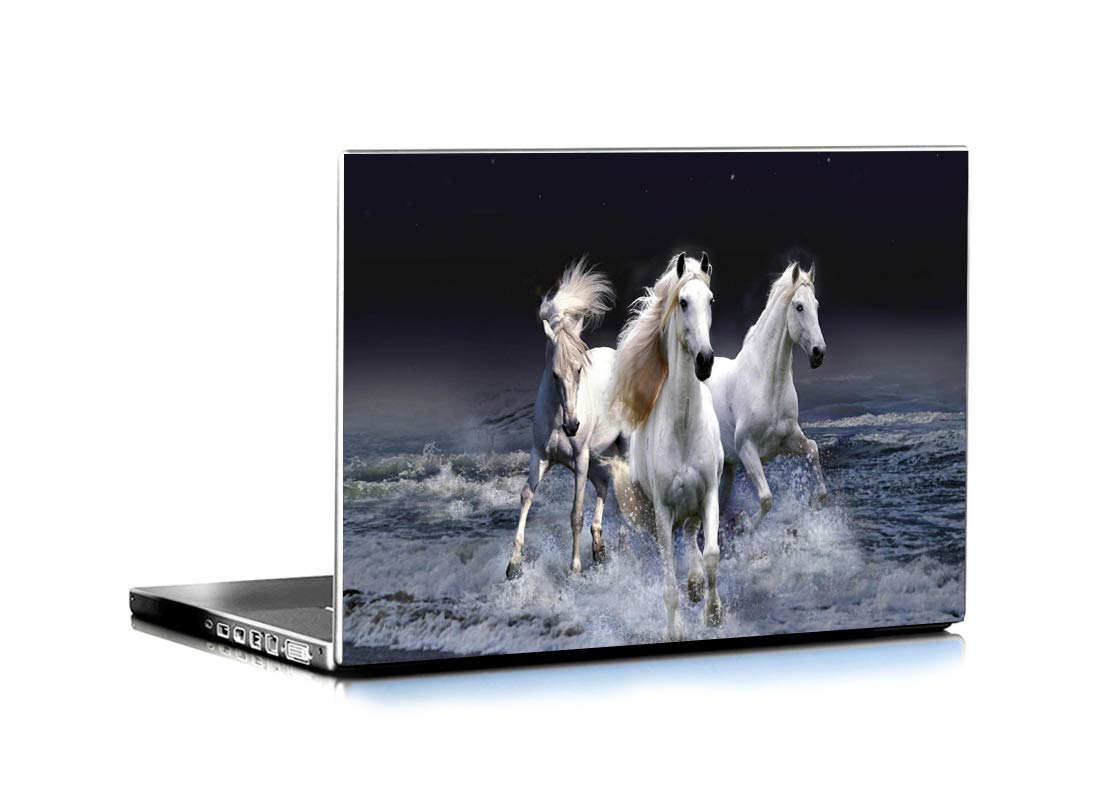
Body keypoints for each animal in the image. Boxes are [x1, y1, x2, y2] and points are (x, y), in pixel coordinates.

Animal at [505, 258, 628, 580]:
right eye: (554, 374)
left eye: (579, 369)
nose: (572, 426)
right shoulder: (541, 455)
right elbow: (526, 495)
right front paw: (513, 565)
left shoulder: (580, 459)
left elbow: (575, 514)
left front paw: (574, 569)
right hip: (597, 457)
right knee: (604, 486)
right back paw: (599, 548)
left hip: (619, 449)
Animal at [606, 252, 724, 641]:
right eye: (682, 302)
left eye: (711, 300)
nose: (705, 361)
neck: (684, 427)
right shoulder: (662, 510)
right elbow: (668, 583)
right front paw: (675, 632)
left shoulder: (709, 494)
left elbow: (712, 555)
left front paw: (713, 614)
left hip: (694, 506)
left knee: (691, 537)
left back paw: (696, 586)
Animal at [705, 260, 828, 533]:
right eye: (799, 306)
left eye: (816, 305)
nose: (819, 353)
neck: (768, 384)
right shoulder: (747, 449)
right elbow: (766, 498)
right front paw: (744, 523)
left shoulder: (788, 440)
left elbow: (813, 450)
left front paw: (815, 502)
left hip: (727, 468)